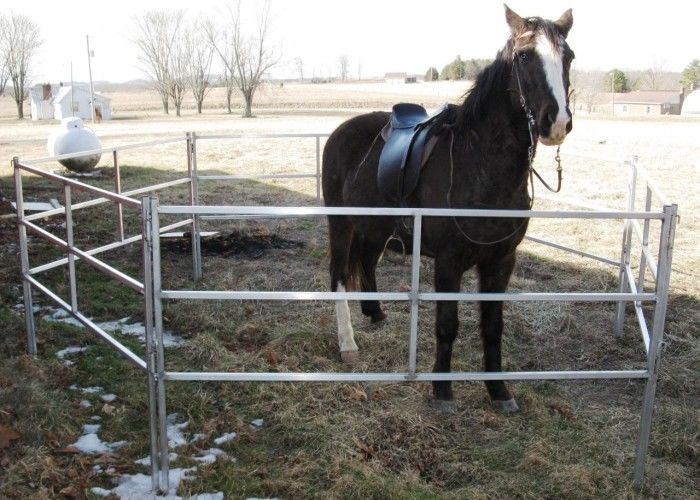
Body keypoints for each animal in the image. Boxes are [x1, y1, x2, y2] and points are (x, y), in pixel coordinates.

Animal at [321, 5, 575, 412]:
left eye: (568, 57)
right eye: (523, 56)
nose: (557, 122)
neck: (480, 162)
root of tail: (342, 131)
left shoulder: (501, 261)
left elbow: (493, 326)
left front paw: (499, 391)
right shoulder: (449, 261)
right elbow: (447, 324)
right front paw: (441, 390)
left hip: (375, 228)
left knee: (366, 261)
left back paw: (375, 312)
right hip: (341, 224)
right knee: (339, 275)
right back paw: (348, 343)